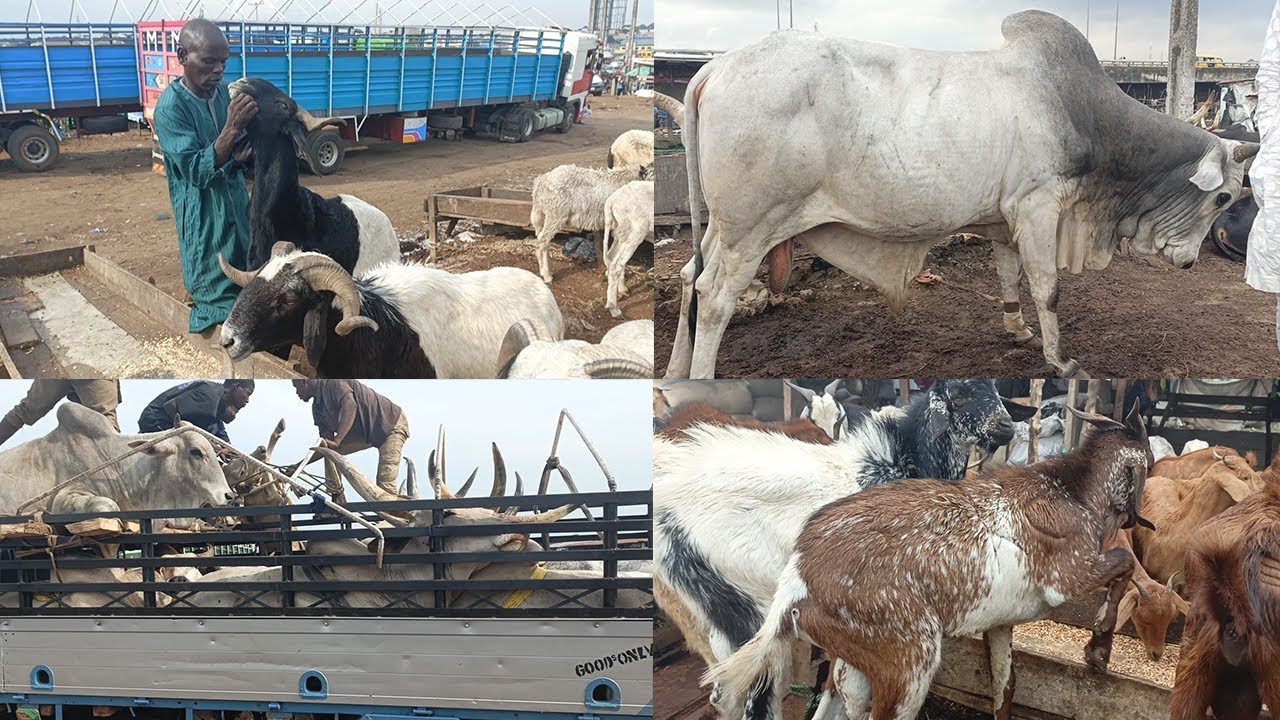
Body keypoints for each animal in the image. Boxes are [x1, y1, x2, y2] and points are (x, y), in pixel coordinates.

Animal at [602, 180, 654, 318]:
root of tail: (612, 200)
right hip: (636, 231)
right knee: (615, 266)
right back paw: (613, 308)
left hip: (622, 231)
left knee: (612, 258)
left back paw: (620, 291)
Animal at [653, 379, 1035, 718]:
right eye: (958, 393)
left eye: (997, 390)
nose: (1005, 427)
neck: (894, 465)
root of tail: (670, 514)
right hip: (752, 610)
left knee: (726, 693)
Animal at [665, 10, 1258, 379]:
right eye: (1224, 198)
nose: (1188, 263)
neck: (1091, 117)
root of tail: (715, 66)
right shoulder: (1039, 207)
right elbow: (1048, 288)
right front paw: (1060, 359)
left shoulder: (1004, 217)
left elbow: (1009, 275)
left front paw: (1017, 328)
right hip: (752, 225)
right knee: (714, 296)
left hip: (724, 227)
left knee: (690, 277)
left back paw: (674, 370)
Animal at [705, 405, 1153, 720]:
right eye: (1147, 462)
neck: (1074, 492)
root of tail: (798, 576)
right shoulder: (1068, 576)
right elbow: (1123, 564)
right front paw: (1097, 652)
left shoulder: (1001, 623)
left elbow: (1005, 688)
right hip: (908, 658)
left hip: (850, 658)